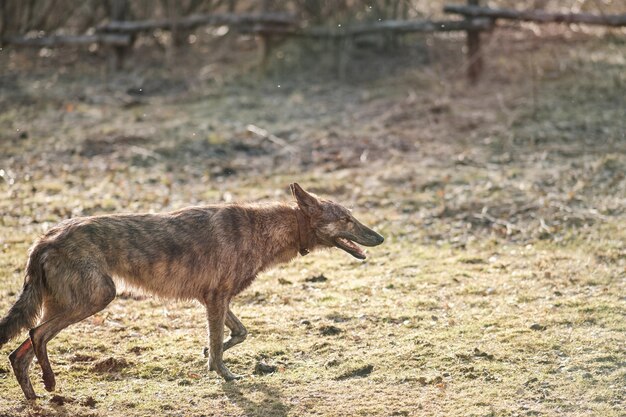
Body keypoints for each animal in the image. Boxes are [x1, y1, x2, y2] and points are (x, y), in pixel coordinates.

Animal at [0, 181, 380, 396]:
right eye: (346, 219)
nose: (380, 238)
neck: (267, 229)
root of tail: (44, 239)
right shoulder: (216, 300)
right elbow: (221, 344)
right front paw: (223, 373)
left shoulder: (215, 299)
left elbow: (237, 334)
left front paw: (210, 358)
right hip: (95, 298)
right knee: (36, 333)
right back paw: (50, 383)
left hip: (67, 303)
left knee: (18, 354)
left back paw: (35, 395)